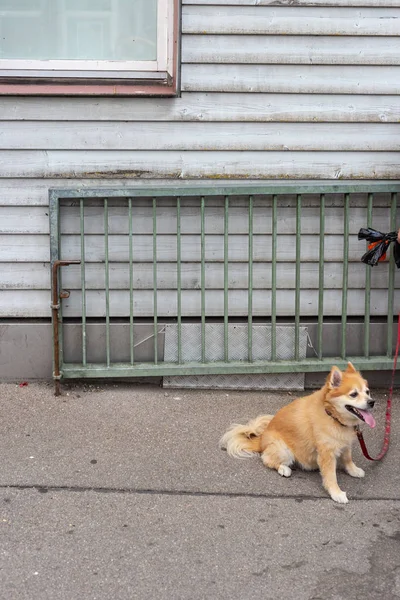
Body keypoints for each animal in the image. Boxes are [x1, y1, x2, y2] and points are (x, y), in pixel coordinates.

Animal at [219, 364, 376, 504]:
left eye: (367, 392)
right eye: (353, 394)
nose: (372, 402)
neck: (332, 416)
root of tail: (261, 439)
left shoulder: (345, 444)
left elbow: (348, 458)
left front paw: (353, 470)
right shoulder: (326, 454)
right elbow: (331, 476)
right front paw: (336, 493)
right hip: (284, 450)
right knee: (266, 459)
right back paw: (283, 468)